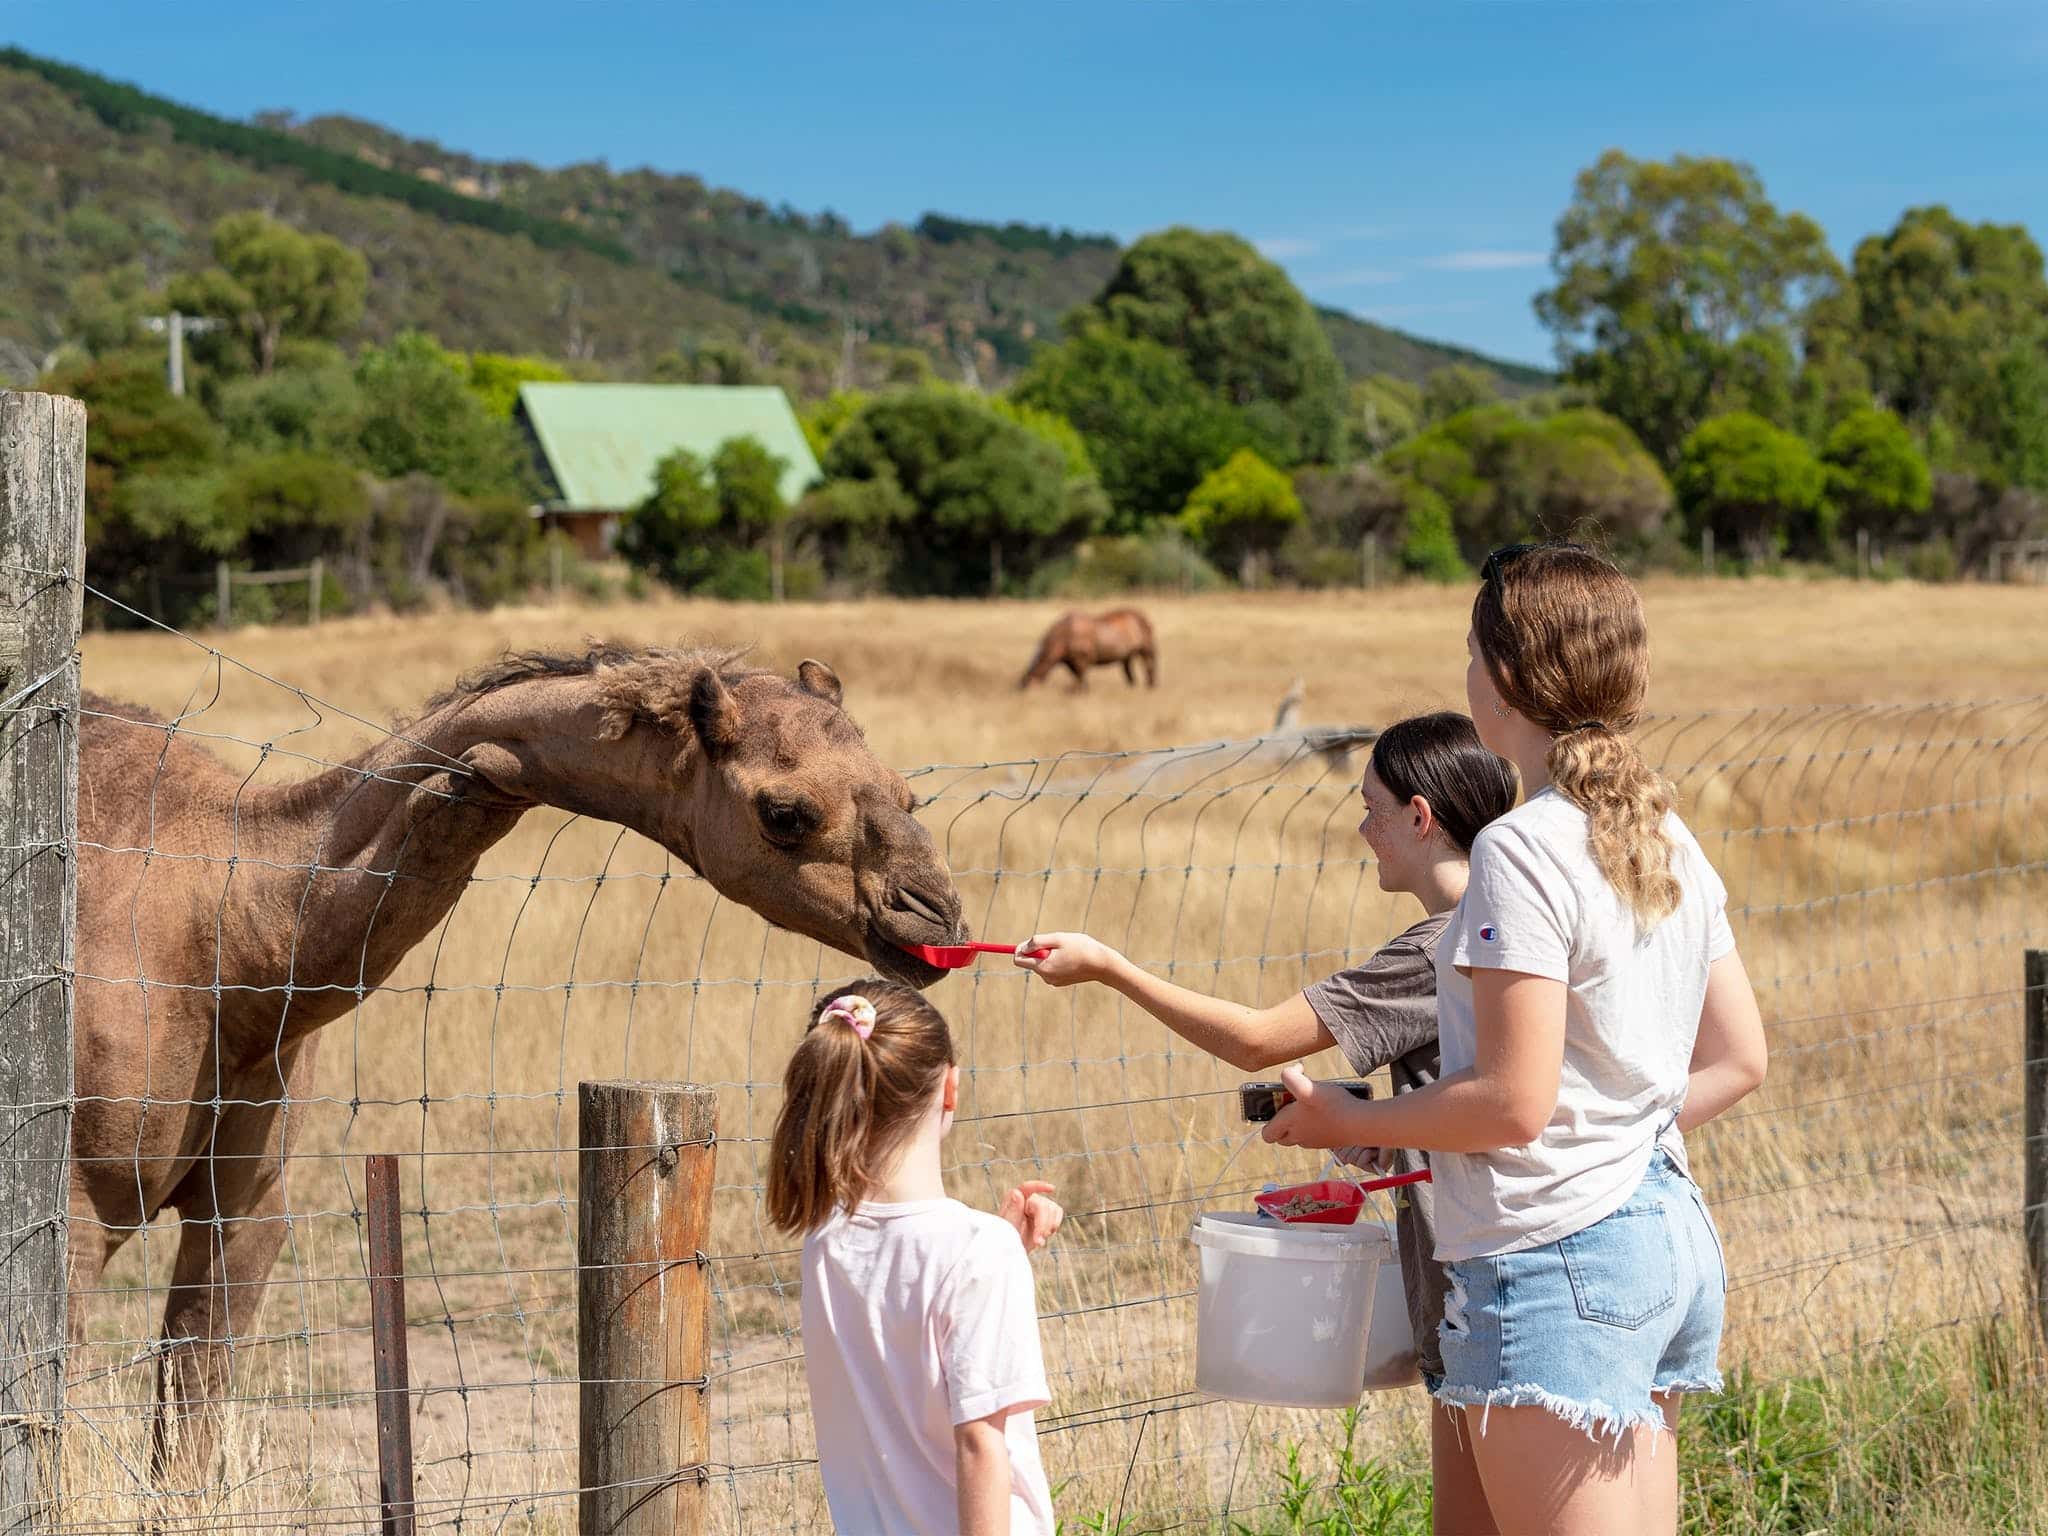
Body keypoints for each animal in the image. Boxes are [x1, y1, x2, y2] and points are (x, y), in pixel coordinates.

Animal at [77, 647, 966, 1482]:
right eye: (784, 813)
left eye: (907, 794)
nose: (939, 917)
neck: (239, 938)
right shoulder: (85, 1205)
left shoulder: (249, 1206)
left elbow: (189, 1428)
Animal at [1019, 606, 1163, 692]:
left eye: (1025, 686)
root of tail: (1145, 618)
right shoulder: (1071, 662)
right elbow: (1078, 678)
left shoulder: (1081, 660)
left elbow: (1080, 678)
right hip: (1127, 655)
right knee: (1129, 671)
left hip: (1146, 649)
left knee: (1149, 666)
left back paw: (1150, 686)